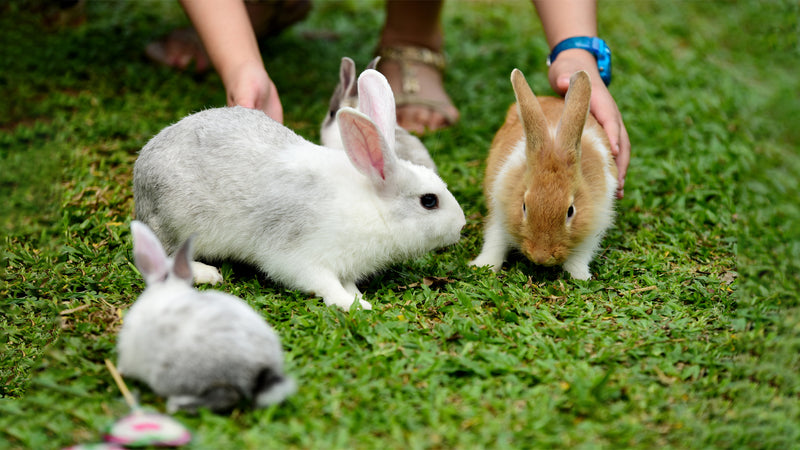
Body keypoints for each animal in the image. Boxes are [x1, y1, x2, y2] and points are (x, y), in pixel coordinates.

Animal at [134, 69, 466, 310]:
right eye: (429, 201)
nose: (462, 225)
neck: (373, 206)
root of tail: (141, 175)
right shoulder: (301, 258)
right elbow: (323, 283)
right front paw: (354, 305)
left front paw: (357, 297)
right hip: (175, 222)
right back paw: (207, 273)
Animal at [472, 68, 616, 280]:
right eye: (524, 206)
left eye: (570, 211)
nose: (541, 257)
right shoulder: (500, 210)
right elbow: (495, 240)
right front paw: (482, 265)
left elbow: (580, 256)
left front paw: (580, 276)